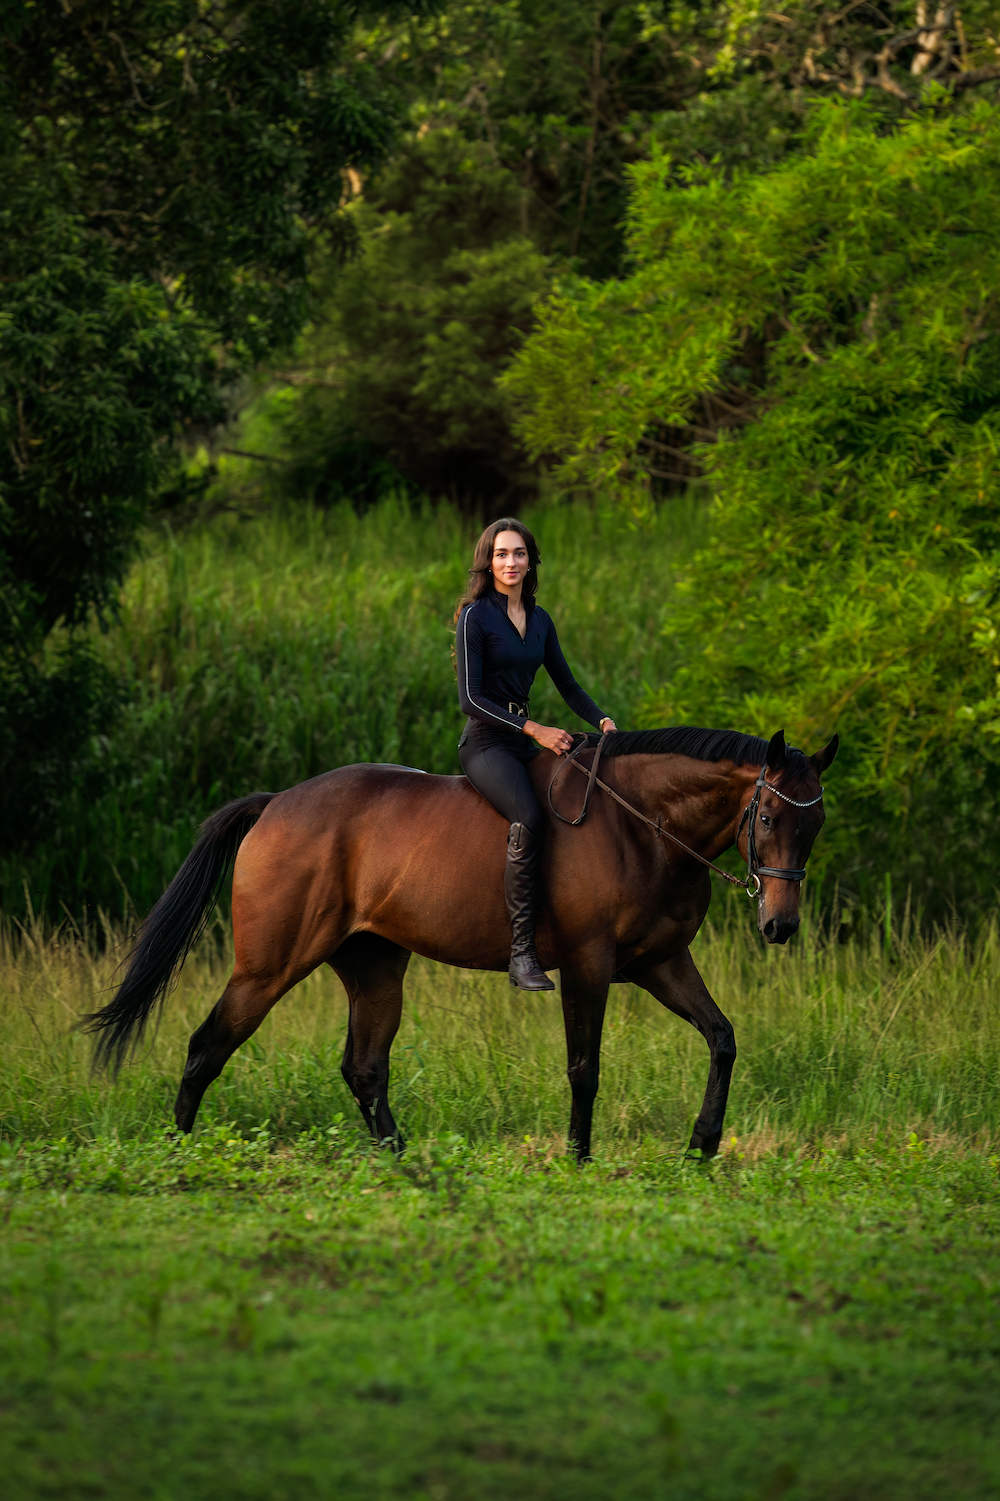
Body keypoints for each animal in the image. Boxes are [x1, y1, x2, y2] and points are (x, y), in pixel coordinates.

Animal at [86, 725, 838, 1161]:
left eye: (816, 824)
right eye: (767, 816)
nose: (780, 926)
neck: (643, 826)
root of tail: (275, 805)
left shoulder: (660, 962)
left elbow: (722, 1037)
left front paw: (703, 1144)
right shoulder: (588, 966)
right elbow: (585, 1067)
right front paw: (579, 1156)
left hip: (375, 967)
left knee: (364, 1067)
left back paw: (406, 1160)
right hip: (268, 966)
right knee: (207, 1046)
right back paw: (183, 1154)